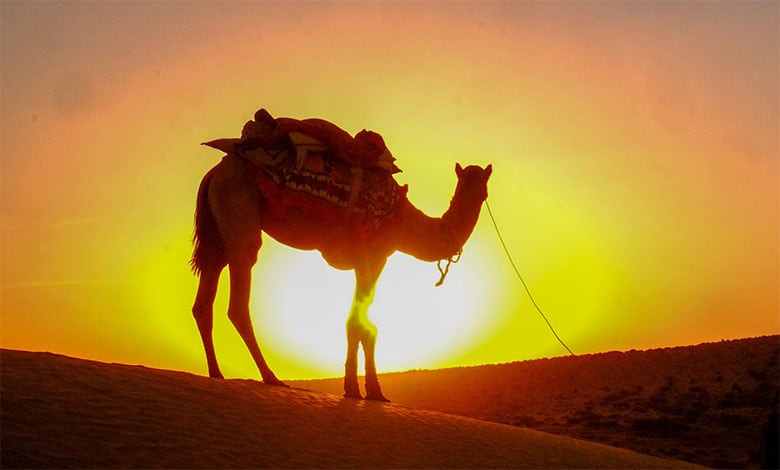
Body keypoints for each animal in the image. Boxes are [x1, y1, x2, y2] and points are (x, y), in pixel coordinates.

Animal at [191, 114, 491, 401]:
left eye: (483, 186)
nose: (481, 191)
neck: (405, 221)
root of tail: (214, 173)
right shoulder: (374, 256)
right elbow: (363, 324)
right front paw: (370, 391)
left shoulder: (362, 261)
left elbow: (356, 322)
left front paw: (356, 389)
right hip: (240, 213)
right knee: (239, 299)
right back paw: (271, 377)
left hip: (216, 232)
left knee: (205, 296)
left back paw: (216, 374)